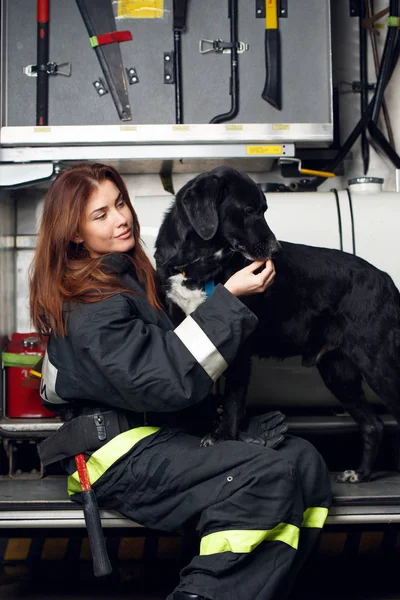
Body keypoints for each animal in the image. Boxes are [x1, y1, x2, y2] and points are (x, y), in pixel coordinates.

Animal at [155, 165, 400, 482]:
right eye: (248, 210)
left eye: (264, 209)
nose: (276, 251)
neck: (198, 264)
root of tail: (386, 279)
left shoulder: (240, 348)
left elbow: (232, 399)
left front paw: (224, 436)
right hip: (338, 372)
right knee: (373, 425)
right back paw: (361, 474)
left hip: (377, 363)